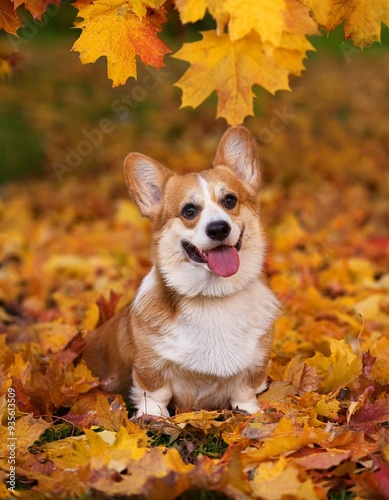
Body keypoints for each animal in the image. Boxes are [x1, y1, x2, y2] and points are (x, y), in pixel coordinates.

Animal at [84, 126, 278, 418]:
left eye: (230, 200)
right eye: (189, 210)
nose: (219, 228)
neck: (214, 298)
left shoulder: (255, 363)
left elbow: (244, 392)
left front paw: (250, 413)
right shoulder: (149, 368)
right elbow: (155, 394)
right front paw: (153, 417)